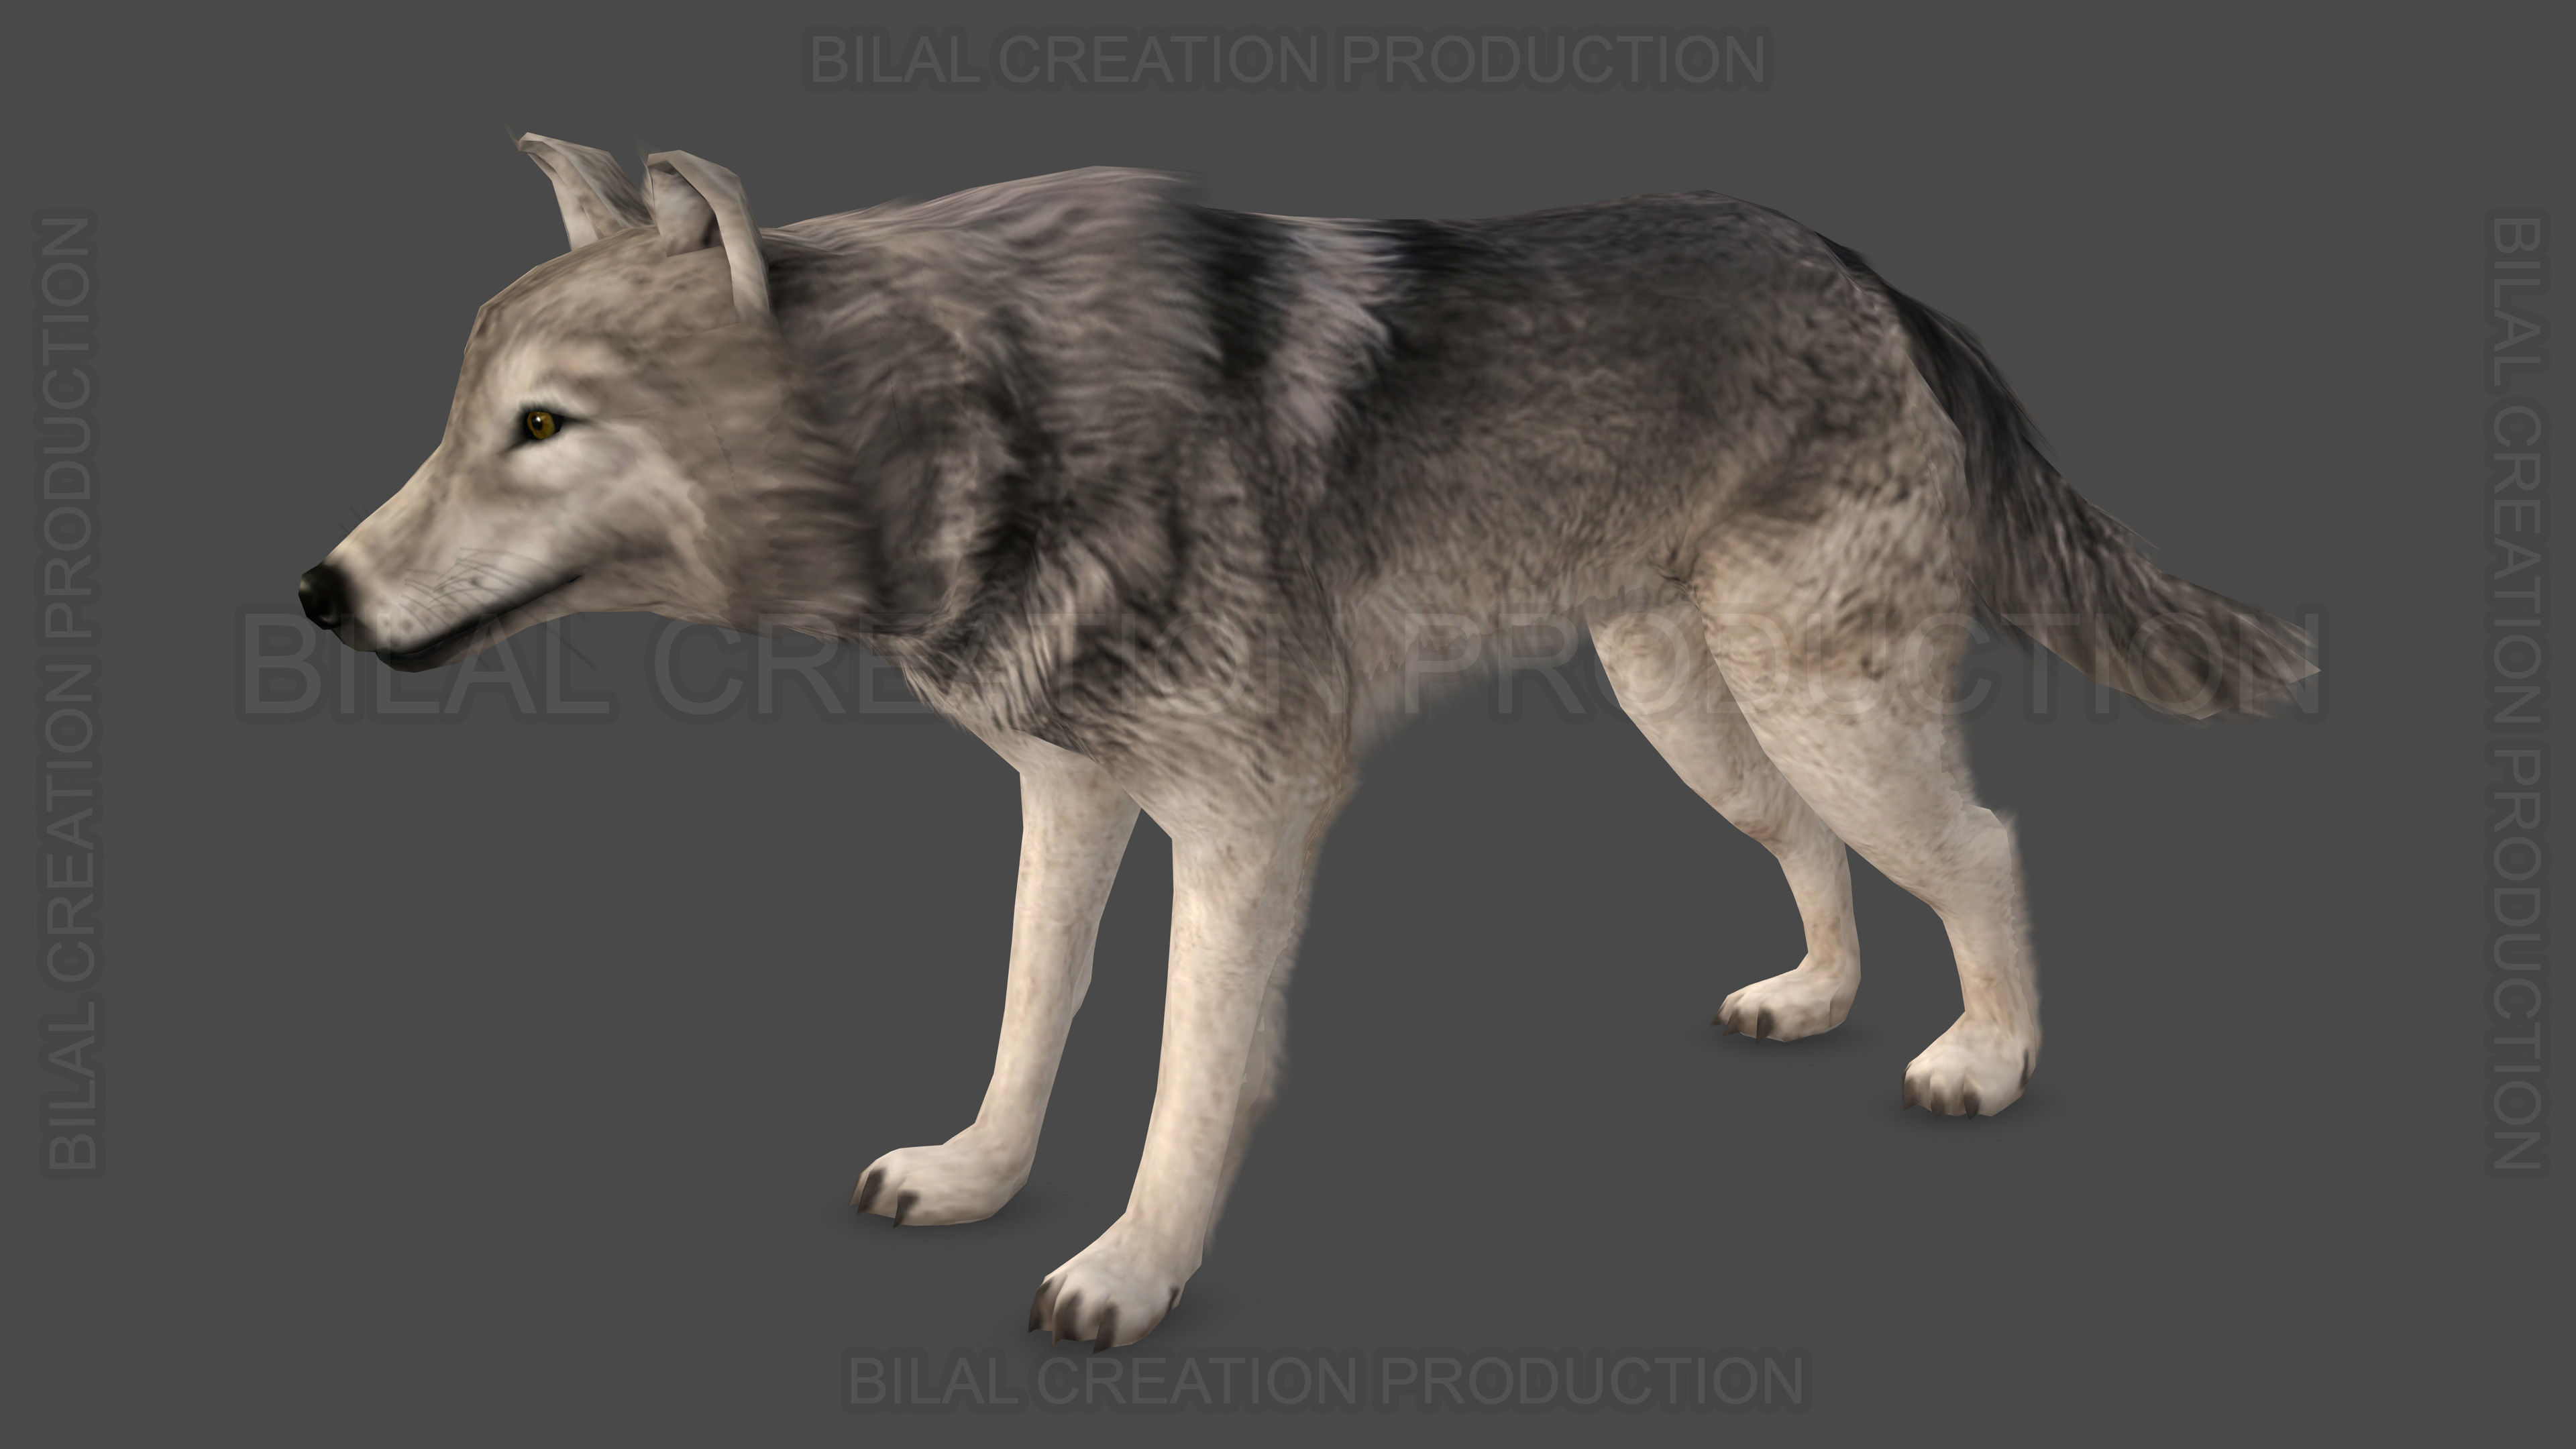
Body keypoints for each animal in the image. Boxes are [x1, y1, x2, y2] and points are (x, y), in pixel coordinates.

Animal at [298, 135, 2313, 1348]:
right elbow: (1030, 1011)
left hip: (1816, 706)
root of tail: (1865, 262)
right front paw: (977, 1177)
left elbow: (1191, 1074)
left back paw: (1987, 1060)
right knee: (1827, 861)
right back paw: (1813, 999)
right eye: (468, 413)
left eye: (543, 424)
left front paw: (1127, 1268)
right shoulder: (1073, 794)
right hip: (1697, 714)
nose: (318, 591)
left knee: (1984, 844)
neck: (982, 426)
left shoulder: (1249, 814)